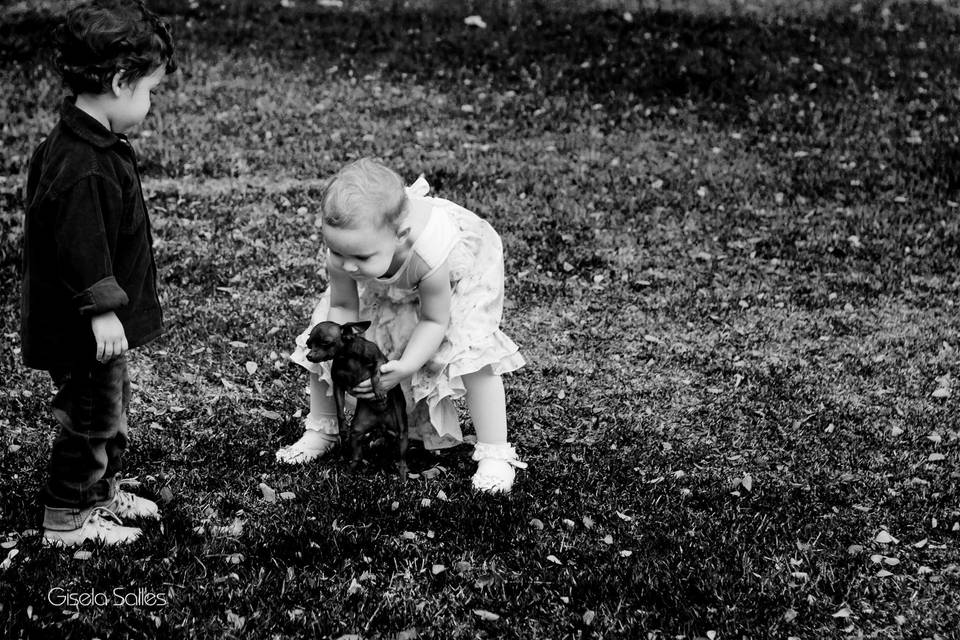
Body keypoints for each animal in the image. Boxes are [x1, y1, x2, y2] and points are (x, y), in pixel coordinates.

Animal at [308, 320, 408, 480]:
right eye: (309, 344)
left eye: (325, 343)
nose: (309, 356)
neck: (346, 357)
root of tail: (381, 423)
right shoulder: (338, 386)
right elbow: (339, 410)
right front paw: (342, 427)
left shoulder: (380, 360)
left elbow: (375, 374)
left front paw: (378, 391)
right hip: (357, 430)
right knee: (357, 456)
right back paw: (348, 472)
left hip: (401, 432)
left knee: (402, 459)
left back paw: (403, 476)